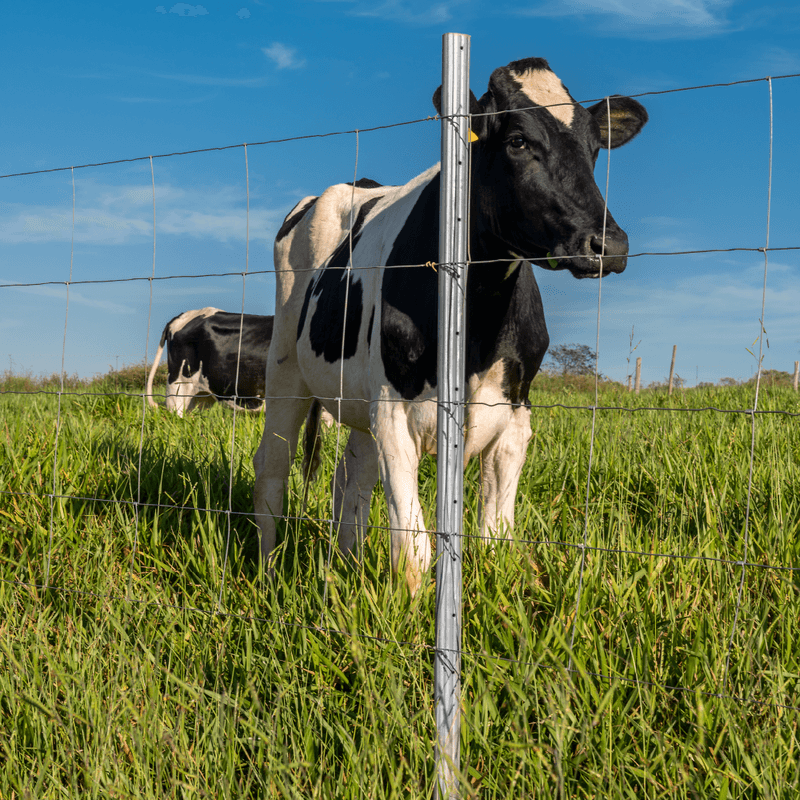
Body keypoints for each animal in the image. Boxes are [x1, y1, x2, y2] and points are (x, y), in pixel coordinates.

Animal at [253, 56, 648, 592]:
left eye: (593, 147)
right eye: (517, 141)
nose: (608, 244)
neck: (477, 325)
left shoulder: (514, 414)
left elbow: (495, 538)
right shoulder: (393, 412)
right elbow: (413, 549)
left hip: (356, 397)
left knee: (350, 477)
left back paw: (346, 567)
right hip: (286, 366)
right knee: (272, 467)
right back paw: (266, 573)